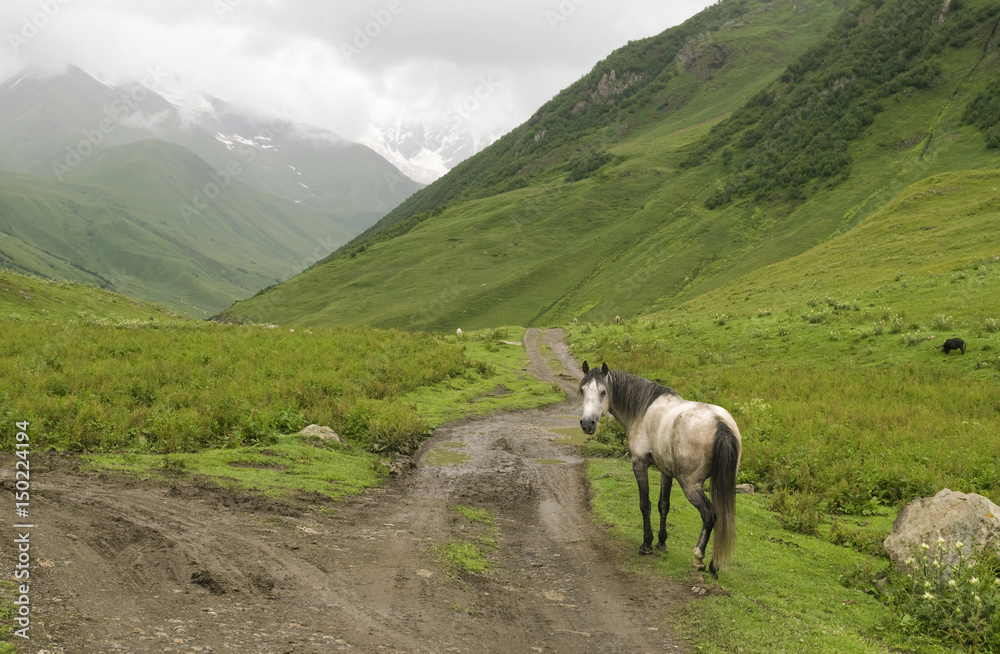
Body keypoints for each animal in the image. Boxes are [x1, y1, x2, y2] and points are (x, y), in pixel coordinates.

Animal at [578, 362, 742, 578]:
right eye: (582, 390)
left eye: (603, 392)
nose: (587, 424)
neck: (642, 410)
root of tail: (720, 423)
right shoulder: (665, 471)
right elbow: (663, 504)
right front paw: (661, 543)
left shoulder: (639, 463)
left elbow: (645, 503)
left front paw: (646, 544)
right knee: (722, 515)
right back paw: (715, 565)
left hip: (691, 485)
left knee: (709, 514)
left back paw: (699, 558)